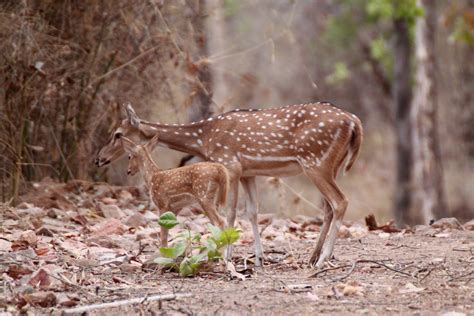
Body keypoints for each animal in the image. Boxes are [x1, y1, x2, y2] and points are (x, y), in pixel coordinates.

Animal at [96, 102, 362, 268]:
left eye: (117, 134)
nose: (99, 158)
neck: (203, 139)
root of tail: (354, 122)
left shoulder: (230, 164)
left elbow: (231, 213)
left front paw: (227, 256)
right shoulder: (248, 173)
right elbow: (252, 212)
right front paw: (258, 259)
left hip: (315, 162)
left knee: (340, 202)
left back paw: (322, 259)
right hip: (330, 166)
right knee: (328, 208)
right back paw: (312, 257)